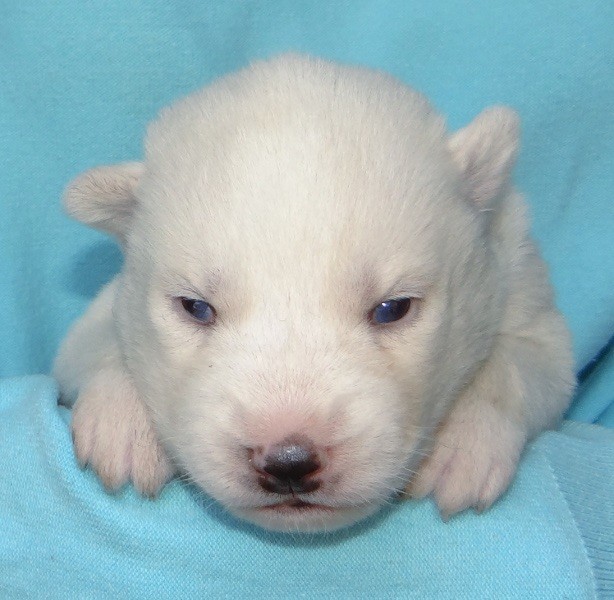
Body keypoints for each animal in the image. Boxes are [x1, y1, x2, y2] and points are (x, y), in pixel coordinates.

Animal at [54, 56, 576, 532]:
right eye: (195, 307)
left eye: (393, 308)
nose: (289, 461)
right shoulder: (106, 306)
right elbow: (97, 343)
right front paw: (123, 424)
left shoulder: (517, 277)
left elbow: (522, 359)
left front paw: (463, 448)